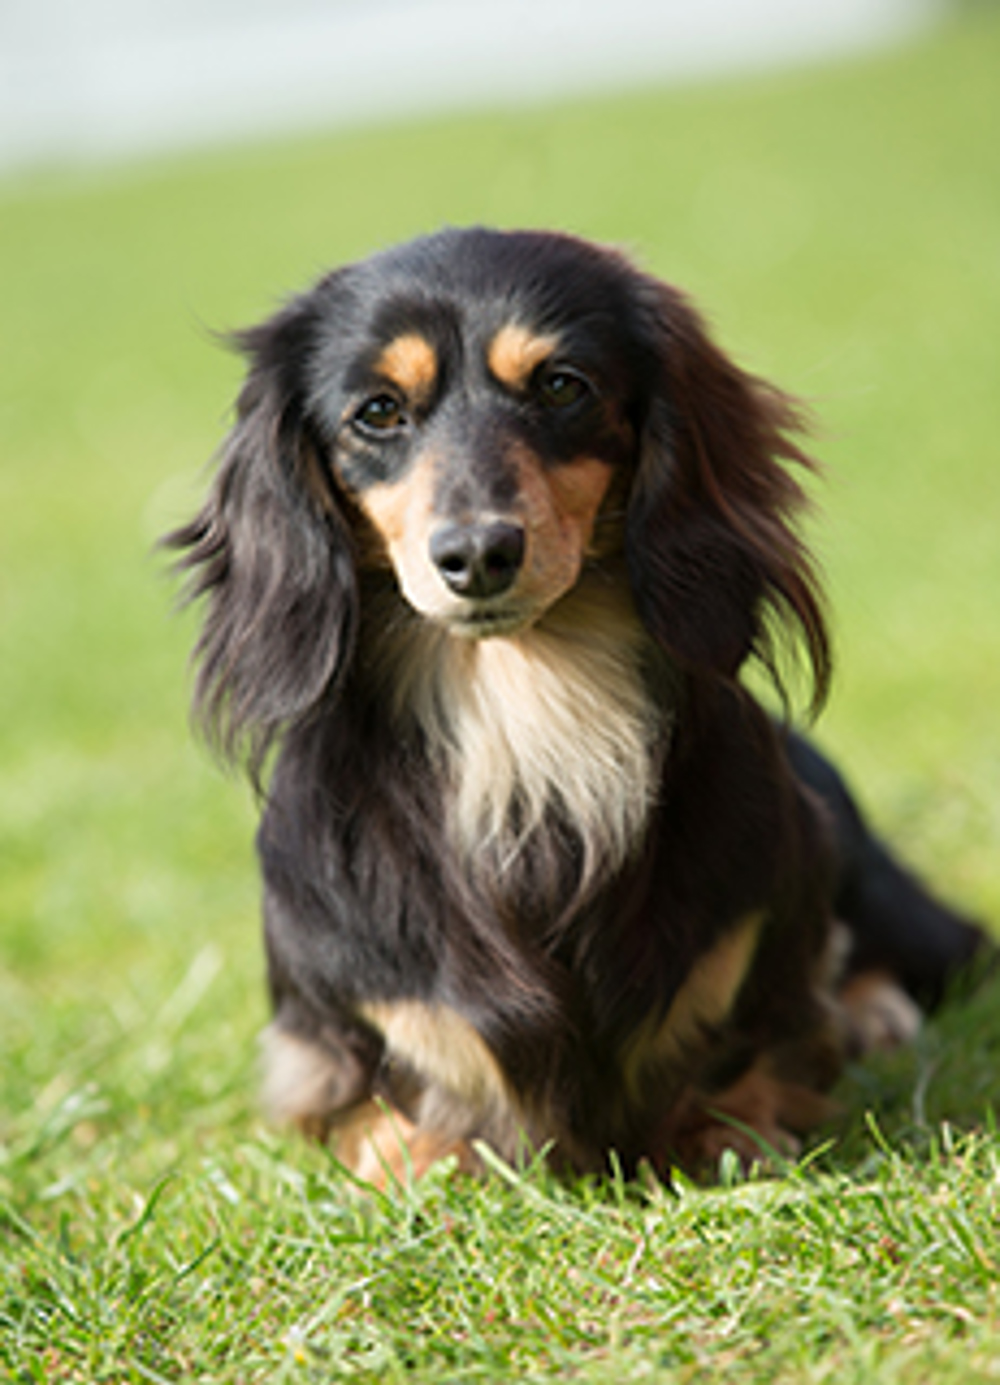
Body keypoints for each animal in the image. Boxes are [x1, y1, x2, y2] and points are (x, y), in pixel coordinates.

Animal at [167, 232, 986, 1185]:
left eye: (561, 385)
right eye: (377, 412)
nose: (478, 553)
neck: (529, 716)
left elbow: (761, 1042)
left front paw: (728, 1129)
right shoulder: (328, 1024)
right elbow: (385, 1097)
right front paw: (416, 1153)